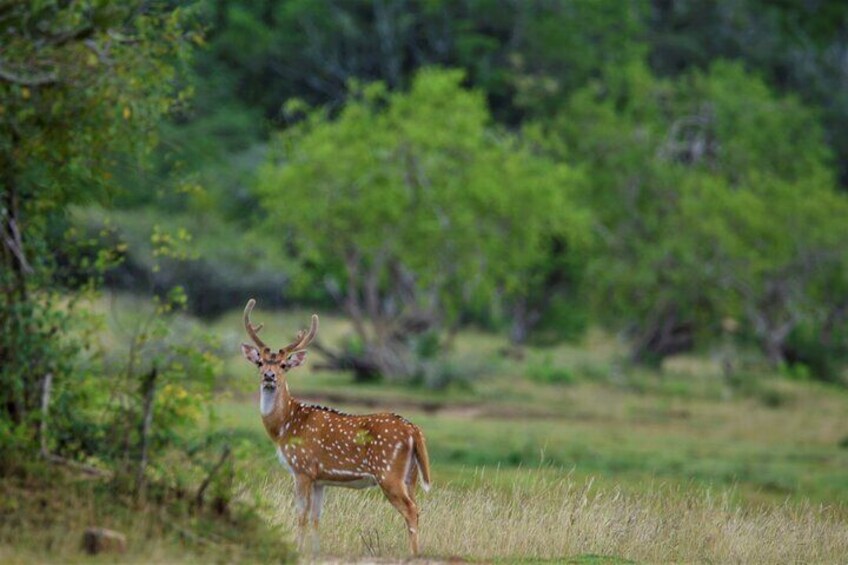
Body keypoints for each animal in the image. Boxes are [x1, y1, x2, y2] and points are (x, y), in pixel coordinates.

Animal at [238, 300, 434, 556]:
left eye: (284, 364)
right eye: (260, 362)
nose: (269, 376)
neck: (284, 427)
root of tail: (414, 431)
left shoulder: (302, 468)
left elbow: (301, 514)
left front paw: (297, 548)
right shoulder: (320, 478)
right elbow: (316, 517)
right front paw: (315, 552)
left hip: (388, 472)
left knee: (411, 510)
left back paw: (413, 554)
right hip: (411, 476)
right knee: (417, 508)